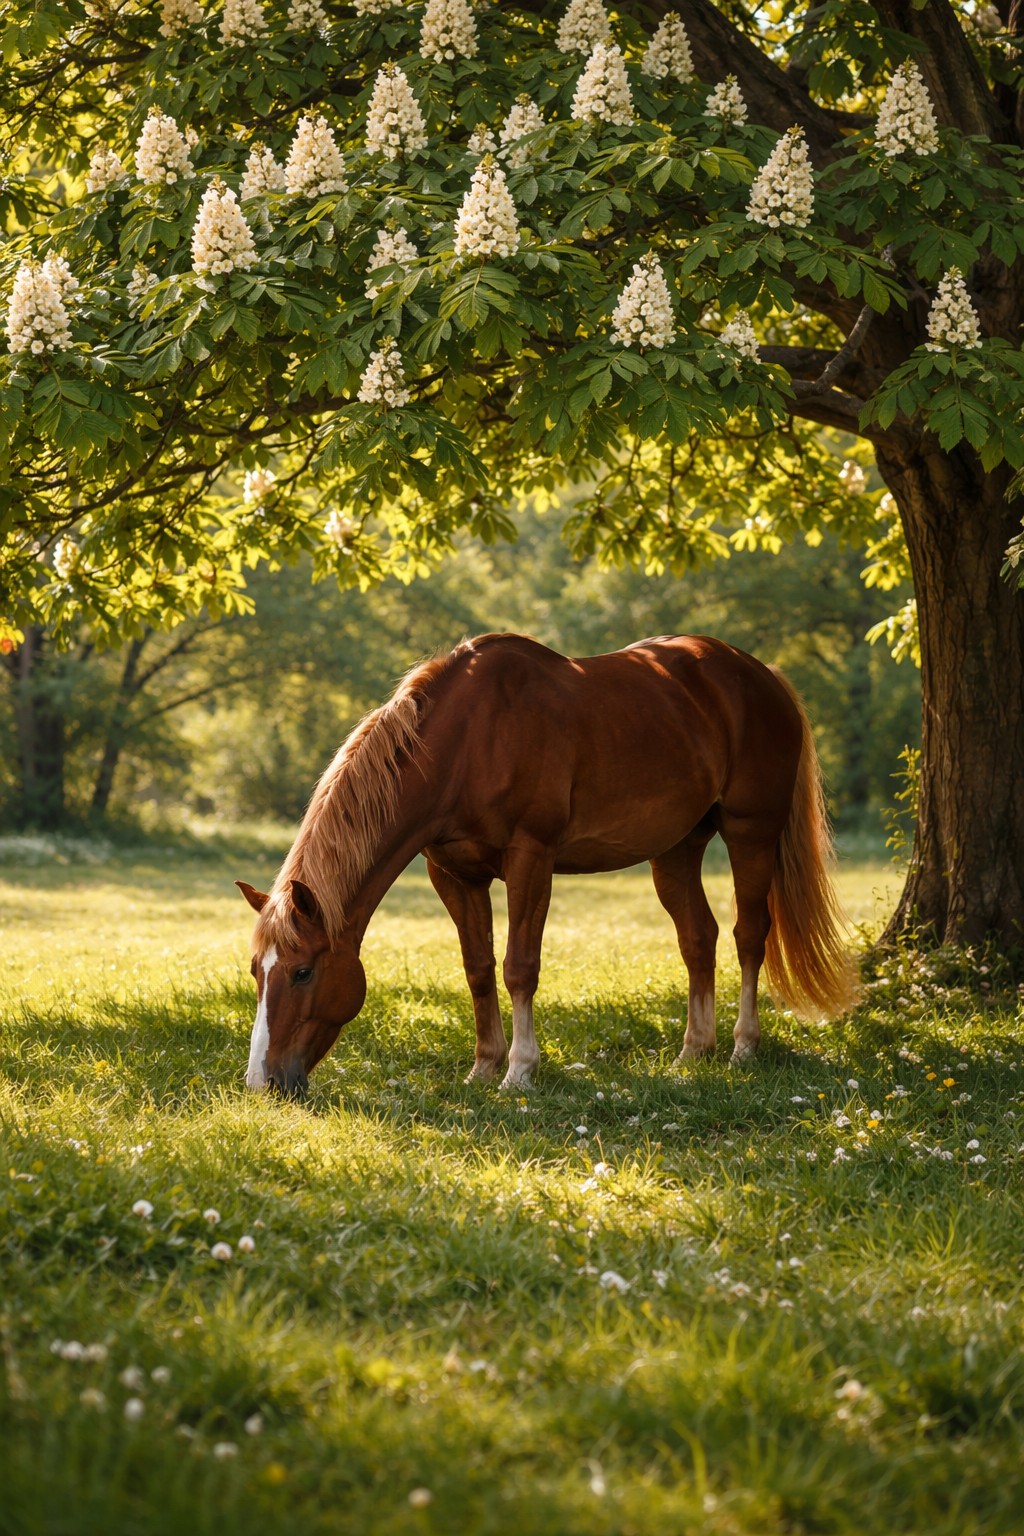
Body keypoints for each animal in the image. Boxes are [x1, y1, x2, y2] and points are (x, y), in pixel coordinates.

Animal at [237, 632, 859, 1096]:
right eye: (255, 972)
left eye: (302, 971)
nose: (262, 1083)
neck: (469, 739)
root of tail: (761, 675)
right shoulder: (454, 875)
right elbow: (478, 968)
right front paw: (483, 1066)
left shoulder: (530, 859)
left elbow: (519, 967)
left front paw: (520, 1071)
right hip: (677, 850)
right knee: (698, 939)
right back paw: (691, 1054)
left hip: (751, 833)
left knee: (749, 936)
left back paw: (742, 1048)